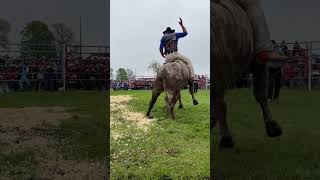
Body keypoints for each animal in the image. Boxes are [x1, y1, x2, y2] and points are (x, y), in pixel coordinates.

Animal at [212, 0, 282, 148]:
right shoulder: (258, 66)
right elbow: (261, 94)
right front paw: (272, 126)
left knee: (217, 100)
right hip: (221, 67)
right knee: (220, 102)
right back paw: (226, 138)